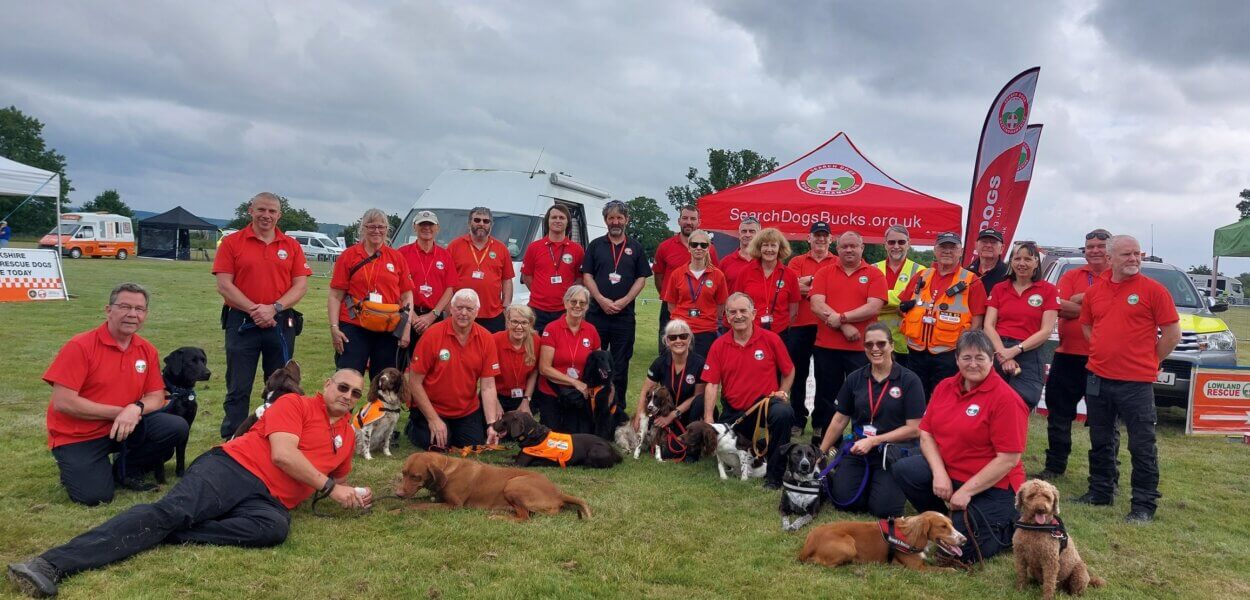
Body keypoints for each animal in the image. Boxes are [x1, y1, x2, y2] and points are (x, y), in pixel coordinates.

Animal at [395, 452, 590, 517]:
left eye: (416, 477)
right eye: (403, 473)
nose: (398, 494)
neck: (447, 469)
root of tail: (559, 493)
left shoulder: (454, 505)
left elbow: (418, 506)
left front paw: (399, 510)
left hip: (513, 484)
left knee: (525, 518)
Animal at [800, 510, 965, 572]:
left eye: (952, 524)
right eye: (943, 526)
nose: (964, 540)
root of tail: (809, 542)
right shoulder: (918, 568)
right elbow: (944, 569)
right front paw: (952, 569)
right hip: (849, 546)